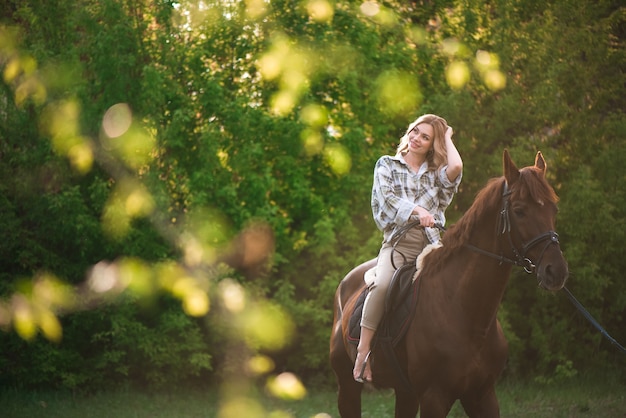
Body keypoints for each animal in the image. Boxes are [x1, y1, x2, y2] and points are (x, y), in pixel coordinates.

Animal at [330, 151, 568, 418]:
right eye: (519, 211)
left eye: (554, 208)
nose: (556, 271)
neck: (465, 312)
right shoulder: (435, 397)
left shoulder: (482, 394)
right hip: (347, 387)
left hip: (405, 392)